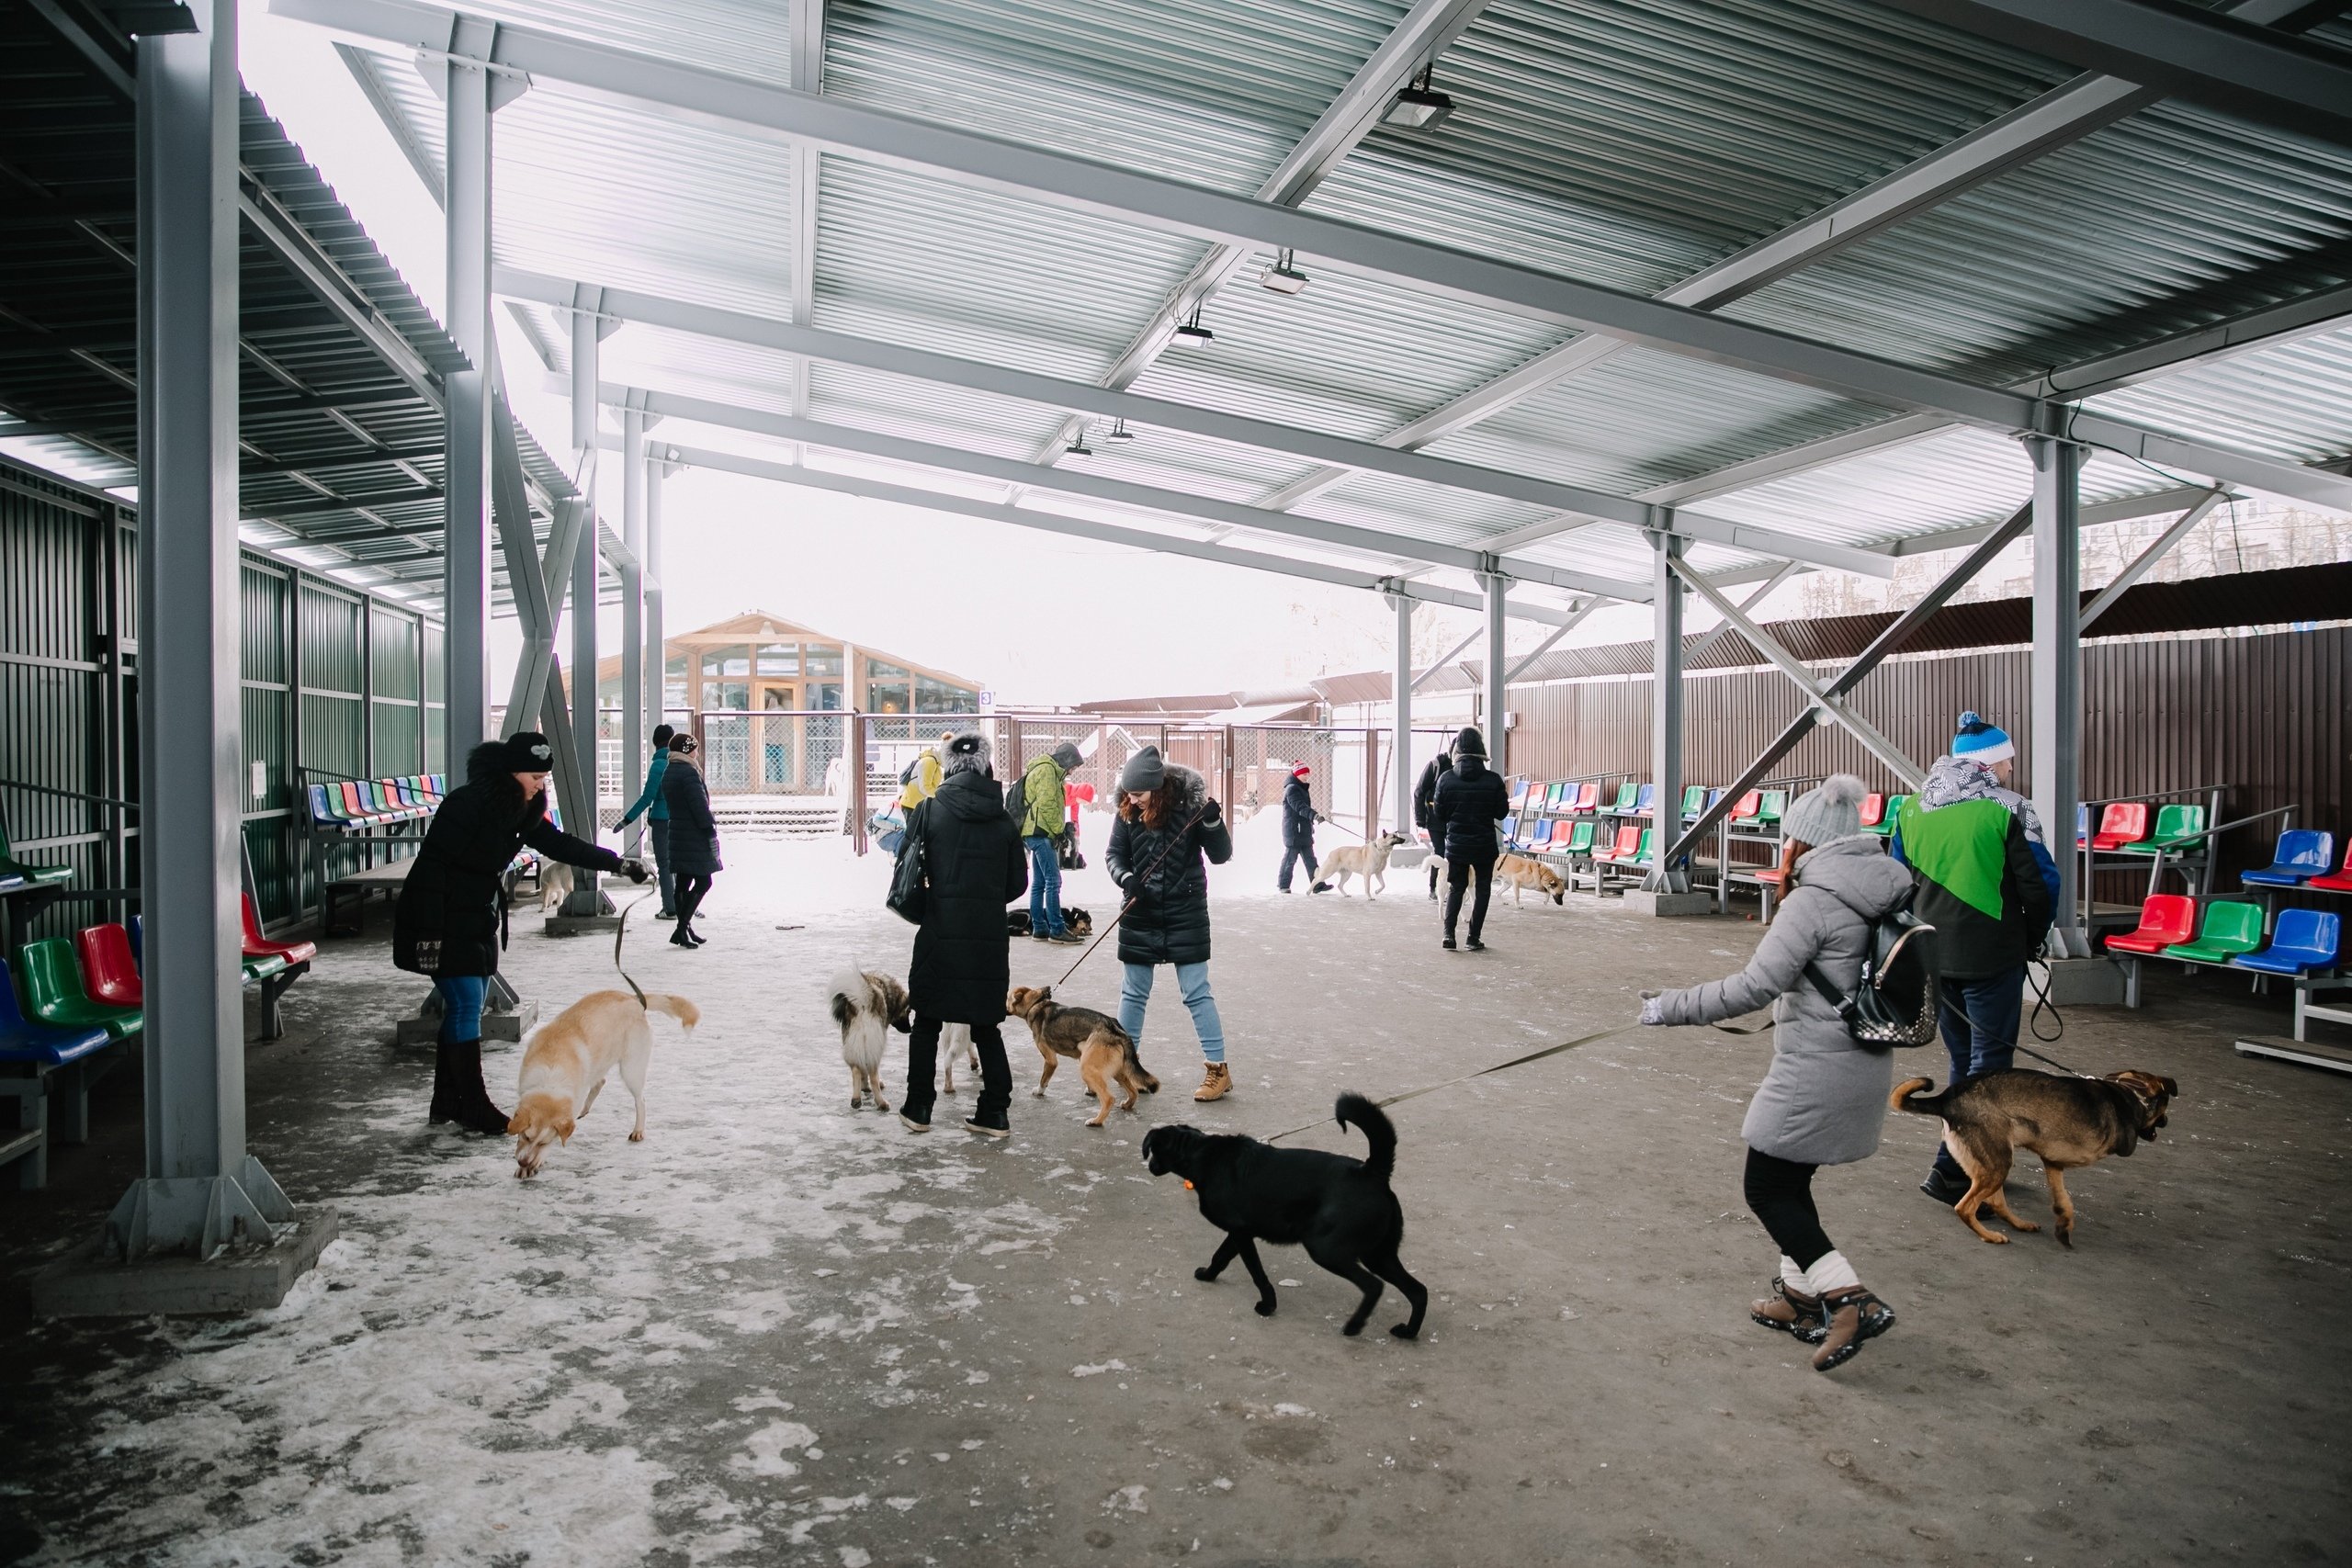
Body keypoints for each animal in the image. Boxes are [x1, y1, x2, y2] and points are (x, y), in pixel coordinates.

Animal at [507, 991, 695, 1175]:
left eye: (543, 1143)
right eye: (526, 1137)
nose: (523, 1162)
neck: (551, 1077)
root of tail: (634, 999)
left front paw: (536, 1162)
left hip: (631, 1070)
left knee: (640, 1100)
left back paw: (638, 1130)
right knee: (601, 1082)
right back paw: (585, 1110)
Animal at [1006, 982, 1161, 1128]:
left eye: (1006, 998)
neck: (1036, 1003)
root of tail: (1115, 1028)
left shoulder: (1051, 1060)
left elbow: (1044, 1079)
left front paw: (1039, 1091)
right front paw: (1091, 1090)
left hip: (1087, 1069)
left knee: (1109, 1099)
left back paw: (1096, 1121)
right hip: (1117, 1070)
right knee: (1133, 1091)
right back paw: (1127, 1105)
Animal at [1133, 1090, 1420, 1335]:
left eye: (1153, 1150)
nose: (1151, 1167)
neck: (1201, 1154)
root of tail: (1371, 1173)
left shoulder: (1241, 1233)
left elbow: (1257, 1273)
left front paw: (1268, 1305)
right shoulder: (1239, 1232)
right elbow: (1221, 1256)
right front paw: (1209, 1275)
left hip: (1327, 1249)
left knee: (1374, 1285)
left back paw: (1354, 1326)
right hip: (1379, 1254)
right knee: (1418, 1289)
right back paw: (1409, 1332)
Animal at [1882, 1066, 2173, 1250]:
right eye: (2164, 1108)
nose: (2167, 1122)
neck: (2131, 1093)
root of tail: (1947, 1099)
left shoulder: (2053, 1162)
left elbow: (2063, 1201)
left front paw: (2064, 1226)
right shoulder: (2122, 1140)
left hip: (1994, 1164)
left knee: (1996, 1202)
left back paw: (2018, 1224)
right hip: (1998, 1163)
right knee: (1964, 1207)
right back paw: (1989, 1236)